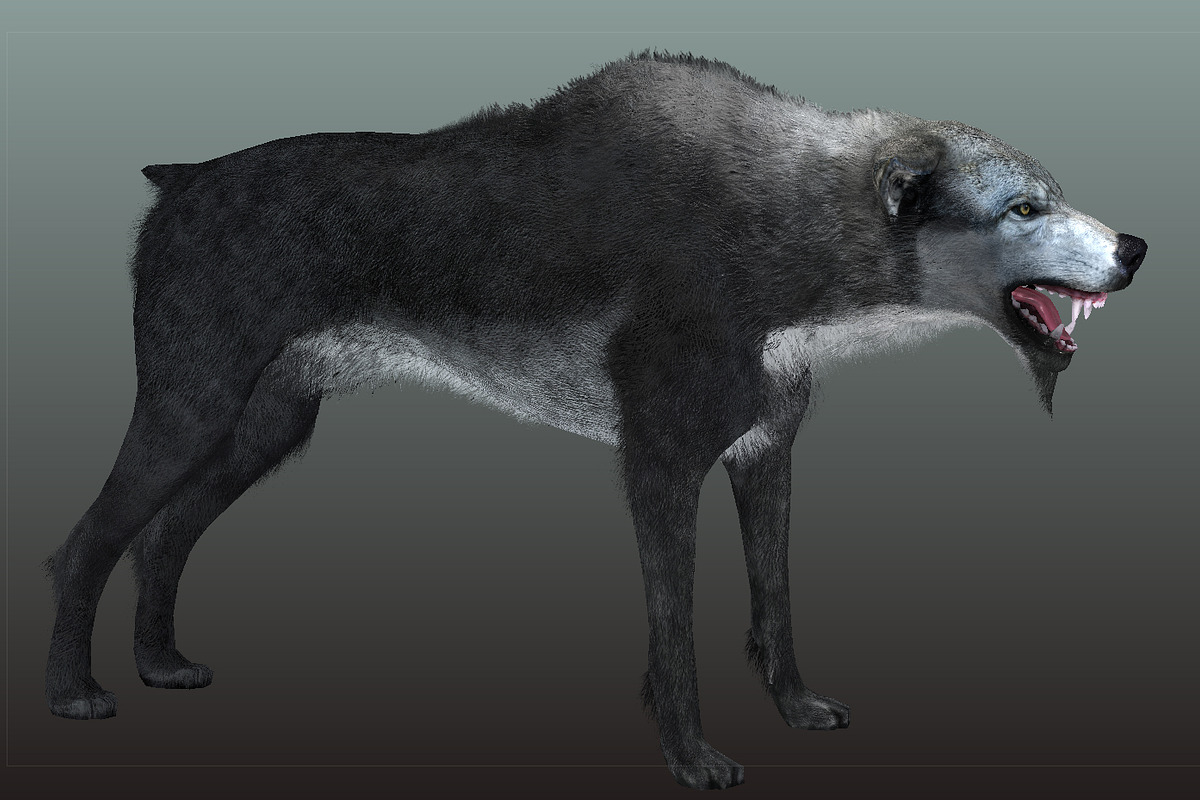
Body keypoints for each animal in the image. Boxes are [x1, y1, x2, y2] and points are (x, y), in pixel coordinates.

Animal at [44, 52, 1145, 789]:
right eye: (1022, 208)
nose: (1134, 248)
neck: (785, 217)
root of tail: (182, 179)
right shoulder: (659, 464)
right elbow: (675, 627)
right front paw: (693, 755)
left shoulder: (764, 457)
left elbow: (776, 601)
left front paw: (794, 706)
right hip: (189, 406)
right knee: (86, 544)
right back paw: (73, 691)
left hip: (262, 425)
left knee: (162, 540)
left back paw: (160, 663)